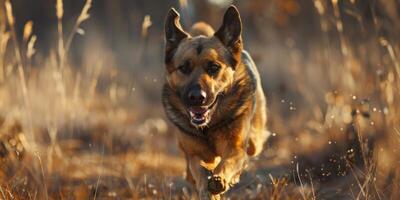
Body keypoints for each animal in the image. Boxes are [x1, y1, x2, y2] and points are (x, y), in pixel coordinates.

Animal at [162, 5, 268, 199]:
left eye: (214, 67)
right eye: (184, 67)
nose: (197, 97)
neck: (209, 127)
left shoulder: (236, 148)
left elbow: (228, 163)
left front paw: (220, 180)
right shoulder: (196, 154)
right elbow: (201, 172)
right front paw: (208, 187)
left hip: (254, 142)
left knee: (252, 147)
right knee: (189, 170)